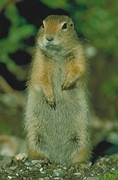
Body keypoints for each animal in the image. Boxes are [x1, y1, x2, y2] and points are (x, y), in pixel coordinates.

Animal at [24, 14, 92, 168]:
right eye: (43, 24)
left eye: (65, 26)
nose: (49, 38)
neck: (57, 54)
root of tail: (58, 159)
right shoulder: (40, 61)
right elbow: (42, 78)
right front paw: (51, 98)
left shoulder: (79, 54)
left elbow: (78, 69)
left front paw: (65, 84)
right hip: (35, 137)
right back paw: (41, 160)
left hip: (80, 139)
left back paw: (80, 164)